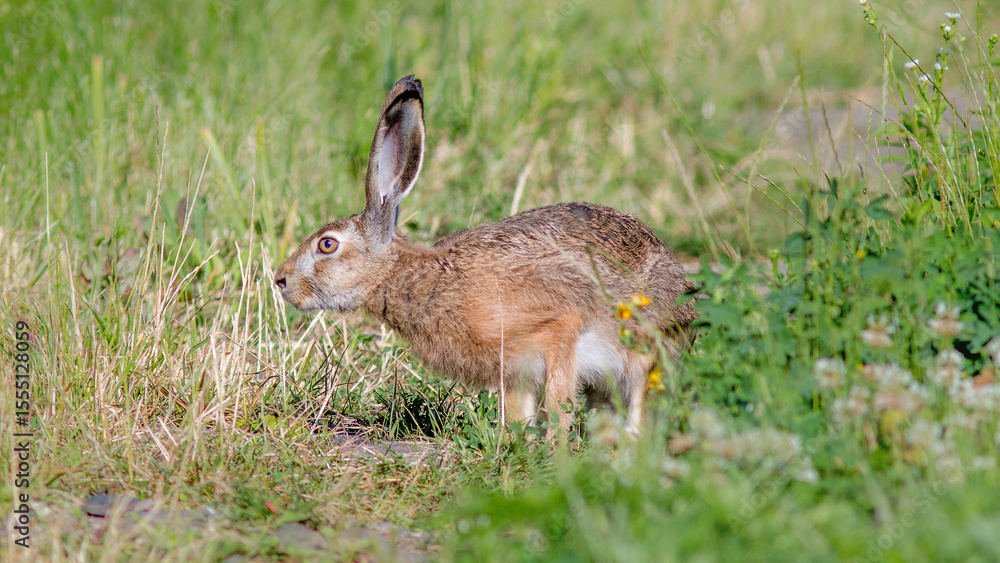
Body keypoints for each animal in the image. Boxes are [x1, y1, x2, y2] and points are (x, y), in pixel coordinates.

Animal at [274, 75, 697, 435]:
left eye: (327, 244)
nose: (280, 280)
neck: (412, 277)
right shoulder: (515, 372)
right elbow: (519, 416)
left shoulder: (559, 327)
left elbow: (558, 406)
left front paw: (553, 452)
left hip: (643, 354)